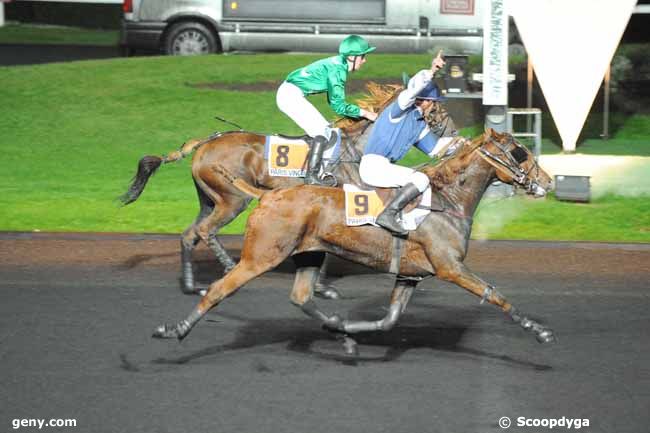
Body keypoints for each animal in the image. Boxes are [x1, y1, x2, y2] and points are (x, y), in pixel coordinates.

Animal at [121, 82, 456, 296]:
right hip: (233, 199)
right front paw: (322, 287)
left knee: (189, 234)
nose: (454, 135)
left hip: (209, 199)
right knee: (205, 231)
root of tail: (204, 142)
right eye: (438, 112)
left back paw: (192, 285)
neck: (358, 149)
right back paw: (228, 266)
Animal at [153, 129, 556, 354]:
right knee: (218, 287)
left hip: (308, 254)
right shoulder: (450, 267)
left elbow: (388, 320)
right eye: (520, 151)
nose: (549, 181)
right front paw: (539, 330)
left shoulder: (409, 275)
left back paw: (337, 331)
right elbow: (494, 293)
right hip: (259, 255)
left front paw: (345, 329)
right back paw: (176, 328)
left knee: (301, 297)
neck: (445, 200)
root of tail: (268, 195)